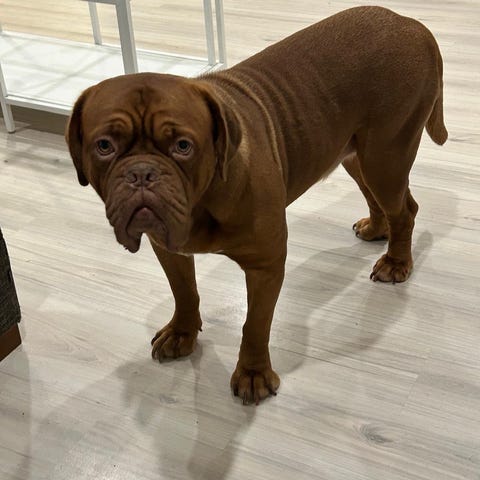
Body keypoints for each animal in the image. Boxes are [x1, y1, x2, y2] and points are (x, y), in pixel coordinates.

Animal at [66, 6, 447, 405]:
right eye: (104, 146)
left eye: (184, 146)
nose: (142, 173)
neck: (202, 203)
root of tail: (410, 24)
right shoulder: (169, 249)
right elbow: (183, 290)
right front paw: (182, 332)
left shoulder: (266, 265)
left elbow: (255, 324)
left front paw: (253, 374)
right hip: (355, 154)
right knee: (381, 199)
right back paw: (376, 229)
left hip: (386, 155)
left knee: (405, 210)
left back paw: (396, 262)